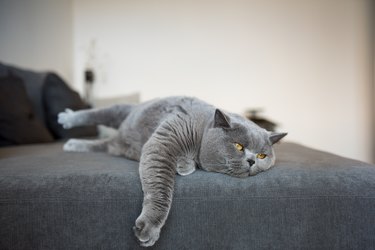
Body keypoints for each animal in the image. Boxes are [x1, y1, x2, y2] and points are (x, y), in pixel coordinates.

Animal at [58, 96, 288, 247]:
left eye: (262, 156)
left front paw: (185, 165)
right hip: (124, 111)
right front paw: (149, 227)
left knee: (104, 145)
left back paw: (74, 144)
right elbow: (161, 190)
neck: (202, 130)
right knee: (102, 112)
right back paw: (66, 119)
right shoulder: (165, 141)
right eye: (239, 146)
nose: (252, 160)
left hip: (117, 143)